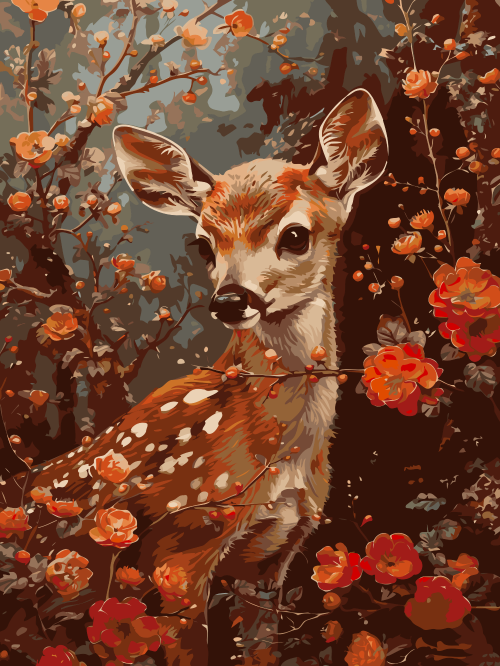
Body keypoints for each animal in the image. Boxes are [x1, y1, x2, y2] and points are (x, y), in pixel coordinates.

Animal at [2, 89, 387, 666]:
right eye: (205, 244)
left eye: (296, 235)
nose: (230, 301)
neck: (282, 451)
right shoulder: (180, 543)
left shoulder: (272, 556)